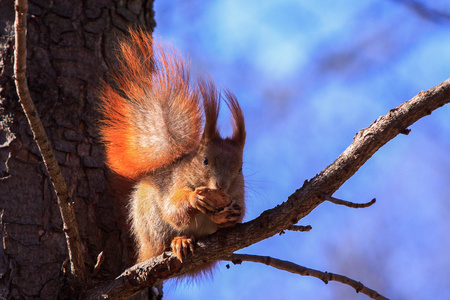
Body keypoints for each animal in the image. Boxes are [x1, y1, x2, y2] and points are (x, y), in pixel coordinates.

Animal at [98, 29, 246, 270]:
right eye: (204, 161)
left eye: (240, 169)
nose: (221, 186)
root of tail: (144, 250)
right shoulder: (174, 185)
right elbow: (173, 210)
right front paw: (195, 199)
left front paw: (232, 215)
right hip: (151, 219)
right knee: (163, 240)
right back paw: (180, 241)